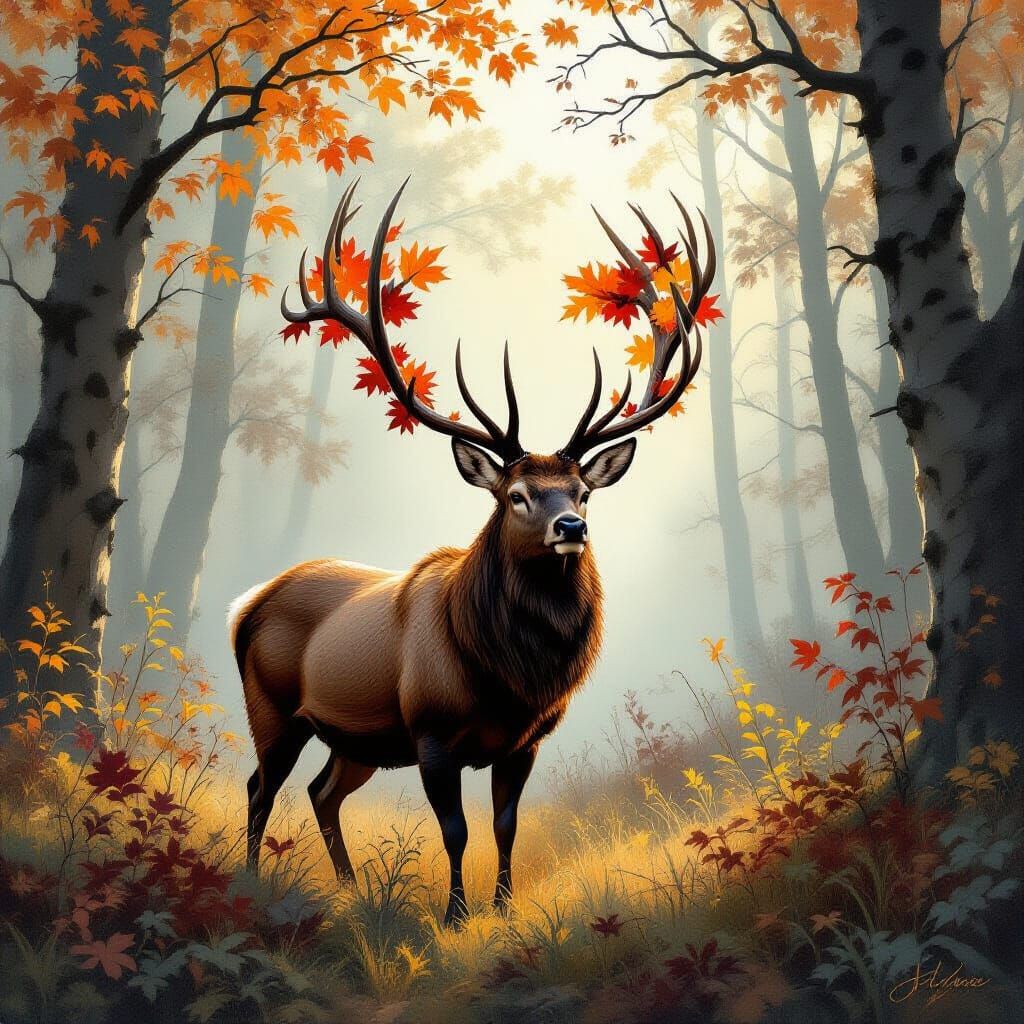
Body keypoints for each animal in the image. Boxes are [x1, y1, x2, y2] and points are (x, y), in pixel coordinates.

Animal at [229, 179, 714, 926]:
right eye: (515, 495)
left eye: (582, 490)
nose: (570, 527)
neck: (509, 676)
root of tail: (247, 604)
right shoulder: (432, 733)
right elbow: (455, 830)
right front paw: (457, 913)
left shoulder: (525, 742)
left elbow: (505, 826)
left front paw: (505, 907)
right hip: (274, 706)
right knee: (261, 787)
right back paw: (256, 881)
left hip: (356, 738)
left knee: (320, 791)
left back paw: (347, 889)